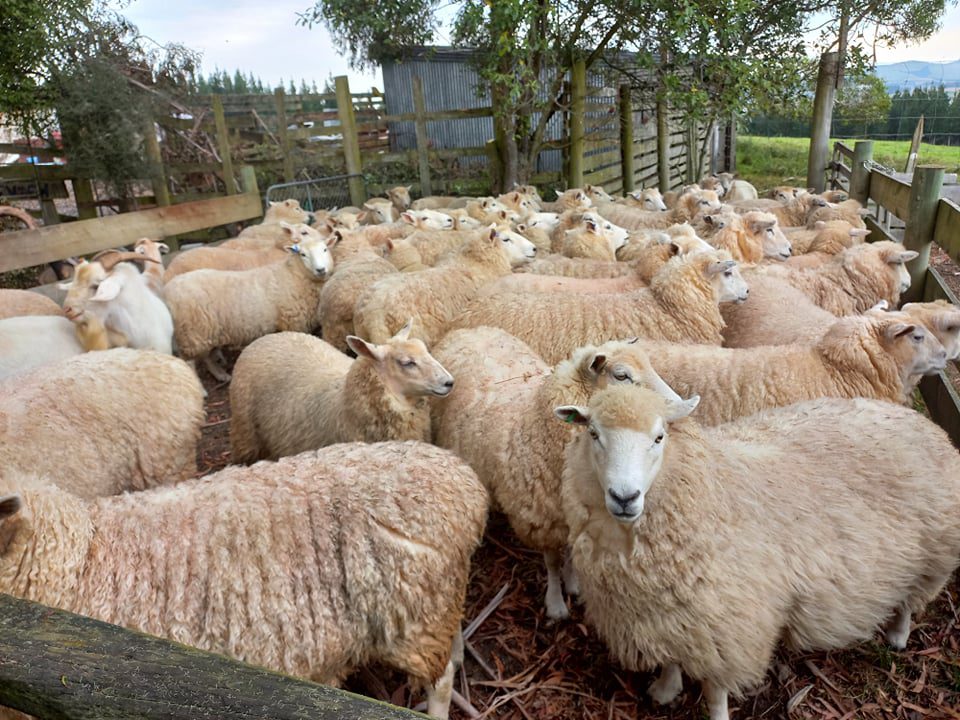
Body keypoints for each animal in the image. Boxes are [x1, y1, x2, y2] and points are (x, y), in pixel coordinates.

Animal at [164, 225, 336, 381]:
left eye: (325, 250)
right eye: (303, 254)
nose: (321, 269)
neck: (294, 275)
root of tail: (168, 288)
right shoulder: (293, 323)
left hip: (205, 332)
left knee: (206, 358)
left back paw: (221, 375)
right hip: (192, 334)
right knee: (190, 362)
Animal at [433, 328, 689, 619]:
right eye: (622, 376)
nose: (680, 406)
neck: (538, 425)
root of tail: (469, 330)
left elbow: (570, 554)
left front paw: (574, 583)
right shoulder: (542, 520)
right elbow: (553, 562)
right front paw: (556, 604)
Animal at [557, 385, 960, 720]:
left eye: (659, 437)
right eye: (593, 434)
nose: (624, 497)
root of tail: (921, 420)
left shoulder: (728, 625)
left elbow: (715, 691)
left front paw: (714, 713)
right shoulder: (669, 617)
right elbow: (673, 659)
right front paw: (665, 688)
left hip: (934, 552)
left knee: (911, 600)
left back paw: (898, 636)